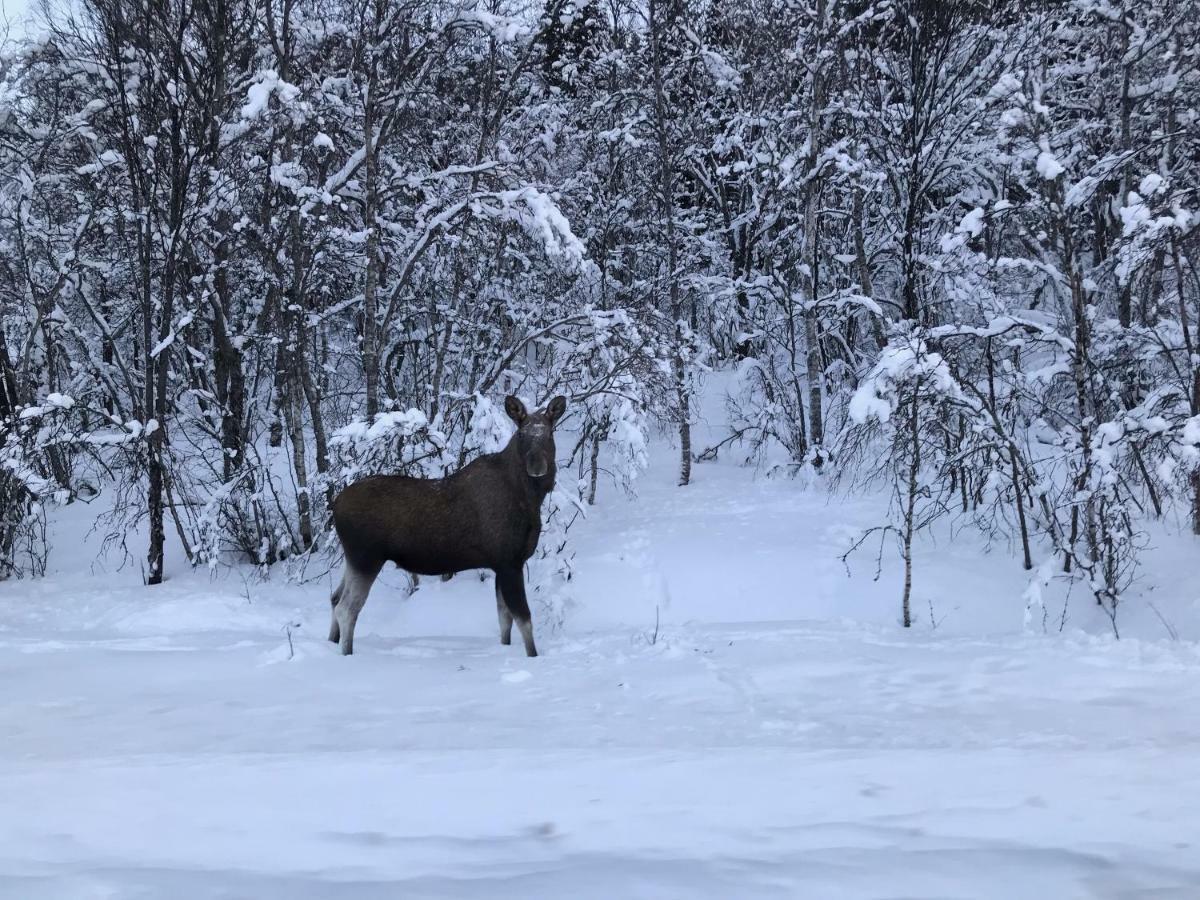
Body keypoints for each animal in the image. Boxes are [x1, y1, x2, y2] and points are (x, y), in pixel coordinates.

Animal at [326, 398, 568, 657]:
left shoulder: (501, 565)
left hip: (353, 559)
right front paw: (533, 656)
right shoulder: (509, 561)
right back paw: (347, 653)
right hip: (366, 558)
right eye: (522, 434)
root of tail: (335, 505)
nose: (537, 466)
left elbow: (504, 620)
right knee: (347, 608)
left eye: (549, 433)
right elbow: (524, 619)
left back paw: (332, 641)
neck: (530, 499)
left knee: (334, 597)